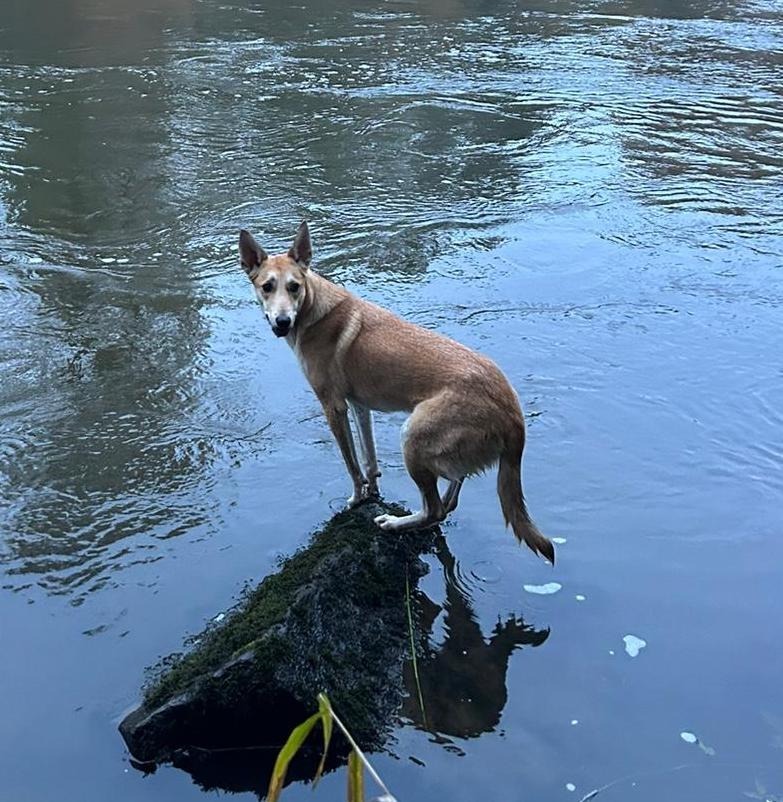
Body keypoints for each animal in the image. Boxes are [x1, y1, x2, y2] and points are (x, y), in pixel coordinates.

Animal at [239, 220, 556, 564]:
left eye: (294, 286)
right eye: (267, 287)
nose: (282, 322)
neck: (312, 309)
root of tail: (514, 415)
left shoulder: (333, 407)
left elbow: (352, 465)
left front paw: (356, 499)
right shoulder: (359, 406)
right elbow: (369, 459)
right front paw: (373, 492)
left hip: (412, 438)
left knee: (434, 509)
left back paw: (394, 523)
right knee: (452, 493)